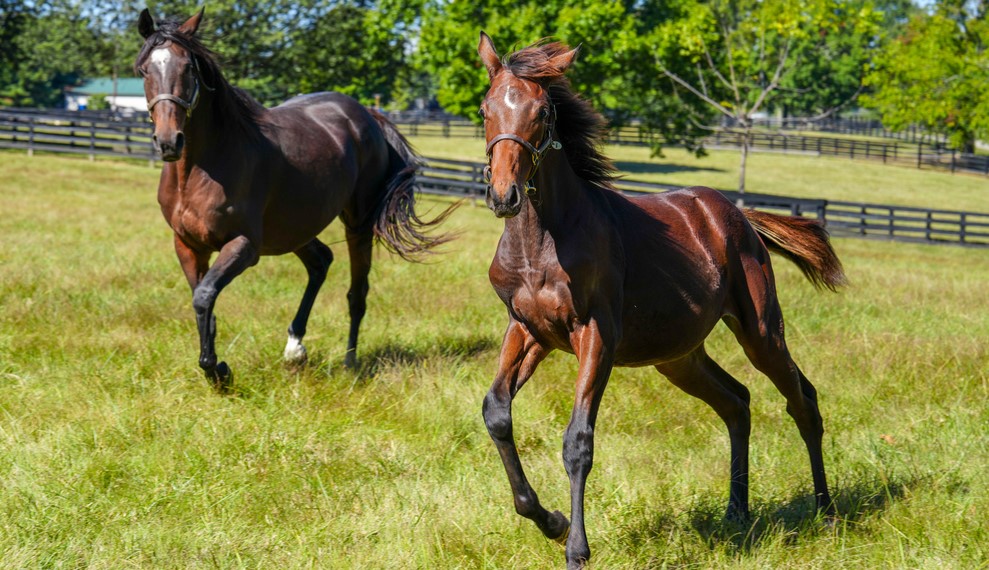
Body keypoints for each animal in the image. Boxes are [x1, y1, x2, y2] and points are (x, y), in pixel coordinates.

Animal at [135, 8, 452, 388]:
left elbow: (205, 296)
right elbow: (202, 304)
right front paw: (217, 370)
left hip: (356, 224)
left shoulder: (244, 247)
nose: (169, 141)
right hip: (295, 228)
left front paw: (218, 372)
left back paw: (349, 363)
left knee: (357, 293)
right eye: (144, 69)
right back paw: (295, 347)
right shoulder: (187, 245)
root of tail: (369, 115)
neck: (199, 171)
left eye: (188, 68)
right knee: (320, 262)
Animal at [476, 33, 840, 564]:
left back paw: (826, 511)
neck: (542, 241)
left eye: (542, 112)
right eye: (485, 109)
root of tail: (740, 216)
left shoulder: (596, 335)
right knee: (737, 401)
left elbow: (577, 440)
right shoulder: (528, 330)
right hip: (678, 356)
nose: (504, 196)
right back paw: (737, 513)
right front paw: (551, 521)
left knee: (802, 400)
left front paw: (576, 549)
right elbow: (497, 413)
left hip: (761, 332)